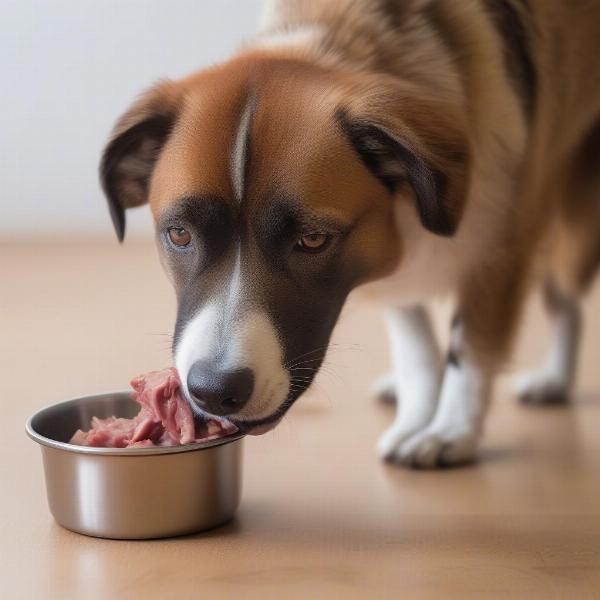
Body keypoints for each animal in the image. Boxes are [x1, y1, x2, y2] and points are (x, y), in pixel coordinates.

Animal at [99, 0, 600, 466]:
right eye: (180, 234)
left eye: (312, 240)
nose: (214, 390)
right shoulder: (391, 253)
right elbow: (416, 345)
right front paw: (419, 410)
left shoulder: (501, 251)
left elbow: (471, 350)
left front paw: (451, 430)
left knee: (566, 298)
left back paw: (555, 378)